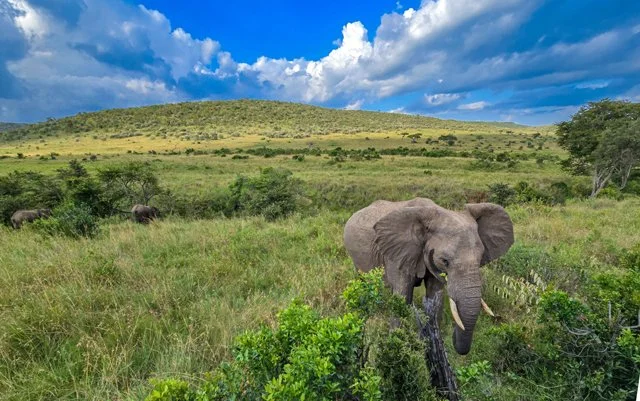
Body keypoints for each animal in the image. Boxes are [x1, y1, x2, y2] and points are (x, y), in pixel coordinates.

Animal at [343, 197, 514, 355]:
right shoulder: (397, 254)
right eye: (445, 261)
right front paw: (397, 344)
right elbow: (402, 298)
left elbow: (434, 298)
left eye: (480, 258)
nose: (454, 336)